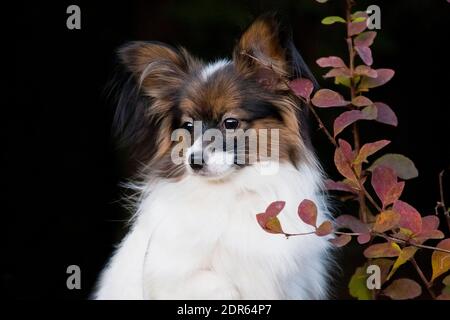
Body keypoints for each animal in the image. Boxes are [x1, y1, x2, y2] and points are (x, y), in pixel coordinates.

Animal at [94, 15, 334, 300]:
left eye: (230, 123)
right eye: (188, 126)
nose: (194, 161)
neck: (234, 191)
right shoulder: (174, 274)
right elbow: (218, 284)